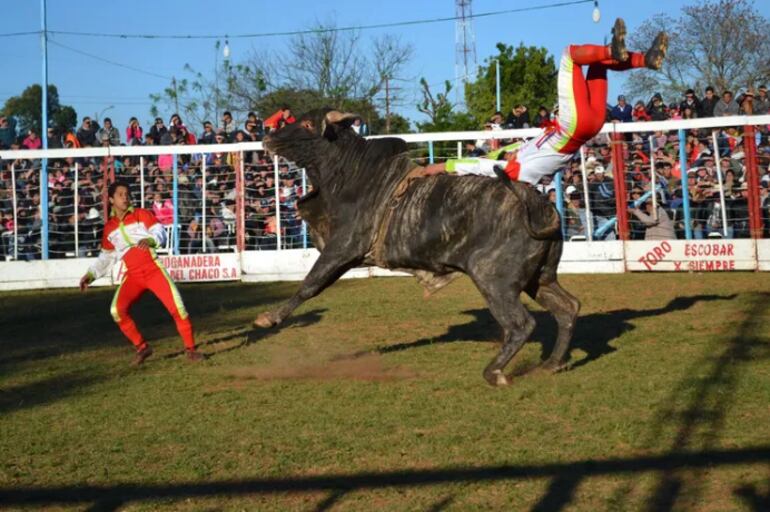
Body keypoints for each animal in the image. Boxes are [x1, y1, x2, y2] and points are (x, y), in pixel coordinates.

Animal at [255, 110, 580, 386]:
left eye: (309, 124)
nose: (268, 136)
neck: (350, 174)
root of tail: (540, 206)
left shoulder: (343, 248)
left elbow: (310, 284)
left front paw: (269, 317)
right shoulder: (346, 256)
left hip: (494, 280)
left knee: (520, 324)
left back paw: (495, 372)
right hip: (539, 278)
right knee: (567, 307)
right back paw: (553, 363)